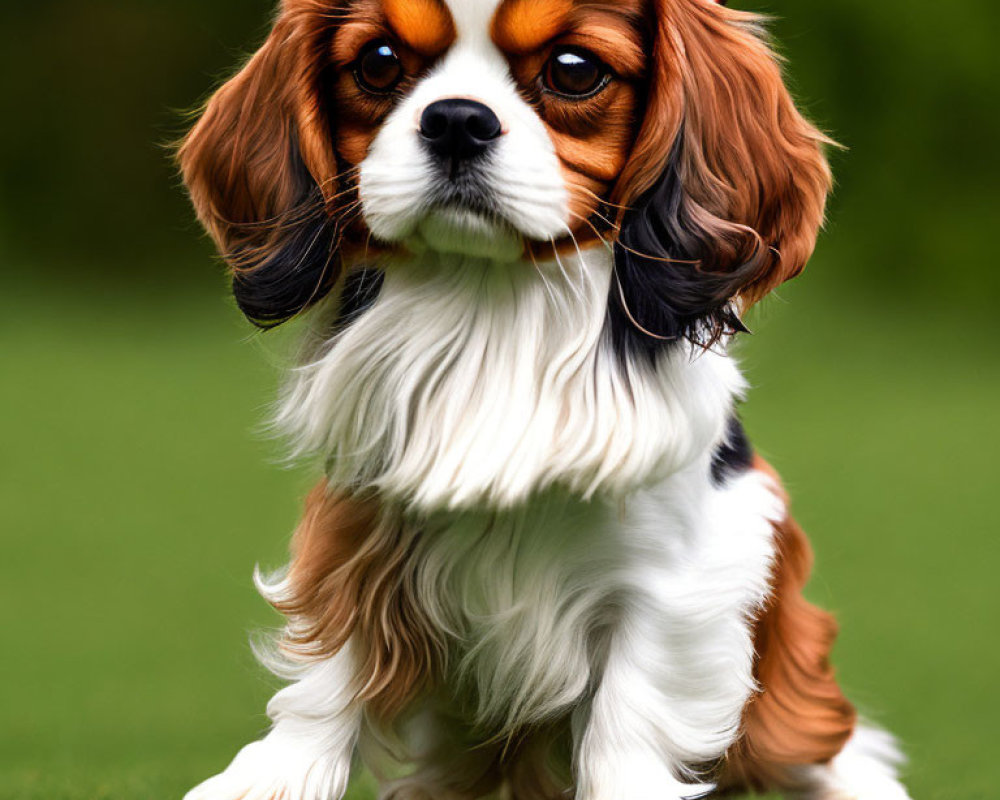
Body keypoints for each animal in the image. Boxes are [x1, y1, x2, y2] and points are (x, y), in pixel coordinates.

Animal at [178, 1, 916, 800]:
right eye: (377, 63)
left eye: (573, 70)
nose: (457, 119)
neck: (492, 302)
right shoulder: (361, 520)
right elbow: (331, 661)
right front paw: (276, 775)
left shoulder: (681, 574)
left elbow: (628, 716)